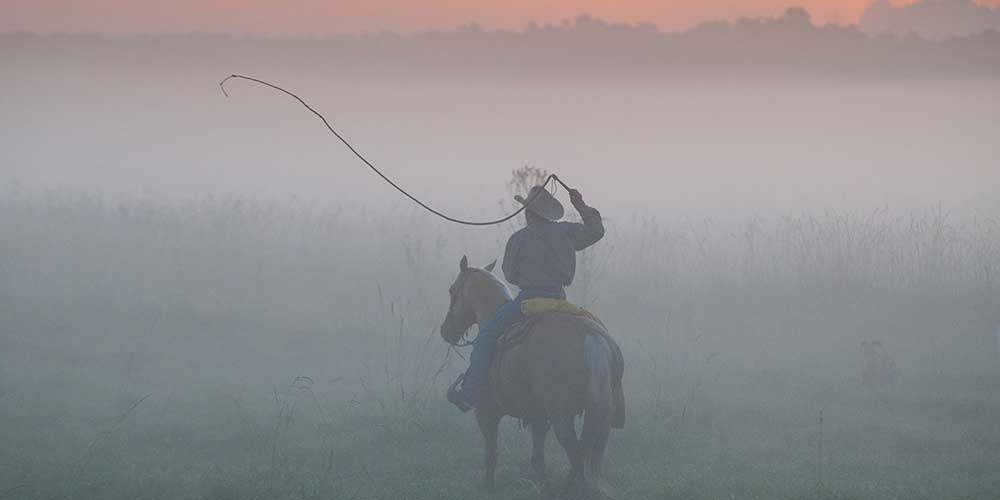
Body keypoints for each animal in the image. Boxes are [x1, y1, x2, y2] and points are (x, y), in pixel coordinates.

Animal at [440, 256, 624, 498]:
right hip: (602, 416)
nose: (445, 330)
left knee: (576, 453)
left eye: (453, 290)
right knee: (592, 454)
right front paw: (543, 486)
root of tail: (593, 337)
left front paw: (489, 488)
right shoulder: (537, 416)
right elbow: (538, 457)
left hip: (562, 417)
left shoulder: (486, 412)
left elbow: (491, 453)